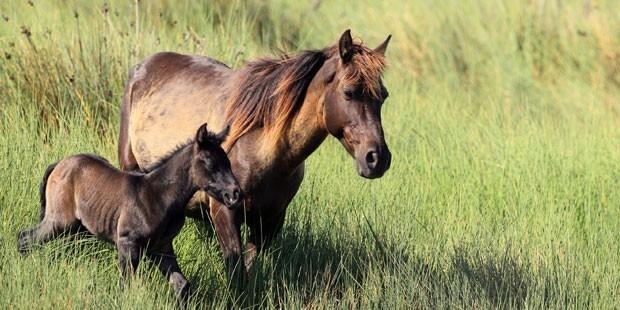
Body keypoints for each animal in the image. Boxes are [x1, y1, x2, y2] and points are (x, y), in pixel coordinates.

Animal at [17, 124, 240, 302]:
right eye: (210, 163)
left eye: (228, 163)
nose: (235, 194)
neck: (160, 195)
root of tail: (58, 164)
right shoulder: (127, 243)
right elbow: (126, 286)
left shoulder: (161, 247)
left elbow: (181, 285)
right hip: (58, 222)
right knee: (25, 238)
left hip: (76, 228)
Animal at [116, 29, 392, 272]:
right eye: (349, 92)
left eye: (384, 96)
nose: (377, 159)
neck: (264, 150)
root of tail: (142, 67)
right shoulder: (225, 213)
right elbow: (236, 271)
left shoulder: (270, 221)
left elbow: (248, 269)